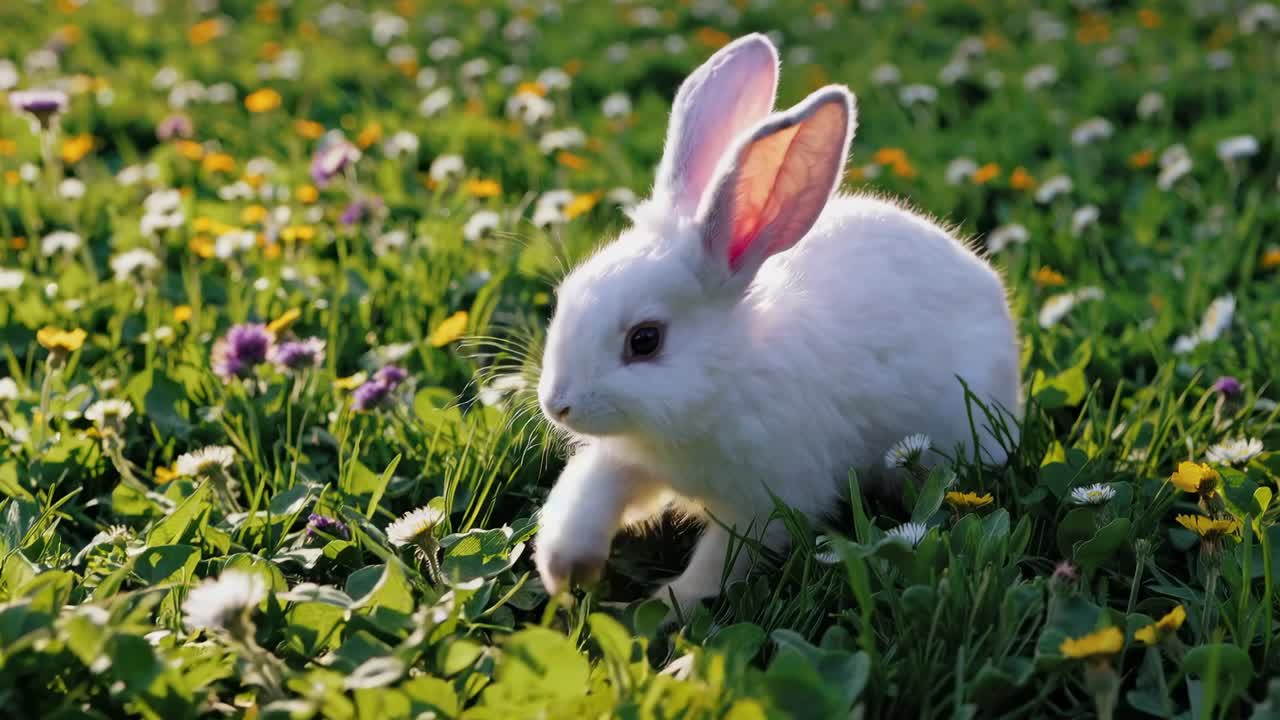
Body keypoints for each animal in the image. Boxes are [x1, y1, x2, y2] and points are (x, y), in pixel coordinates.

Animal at [533, 33, 1021, 612]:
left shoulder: (768, 501)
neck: (724, 378)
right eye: (564, 298)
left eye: (644, 340)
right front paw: (565, 573)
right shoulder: (627, 459)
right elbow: (589, 492)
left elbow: (722, 562)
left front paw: (662, 607)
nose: (556, 405)